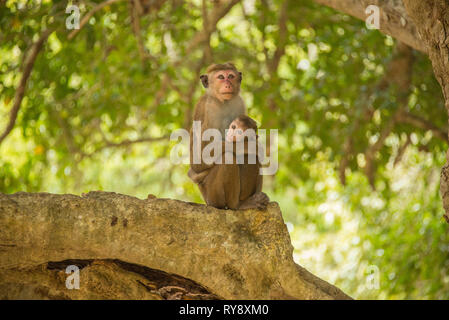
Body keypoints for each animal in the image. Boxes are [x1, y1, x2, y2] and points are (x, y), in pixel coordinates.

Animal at [187, 62, 268, 210]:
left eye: (230, 76)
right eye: (220, 77)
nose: (228, 84)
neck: (222, 101)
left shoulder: (239, 102)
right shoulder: (209, 110)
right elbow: (198, 159)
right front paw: (250, 145)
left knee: (251, 158)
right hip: (212, 195)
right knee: (228, 157)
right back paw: (237, 205)